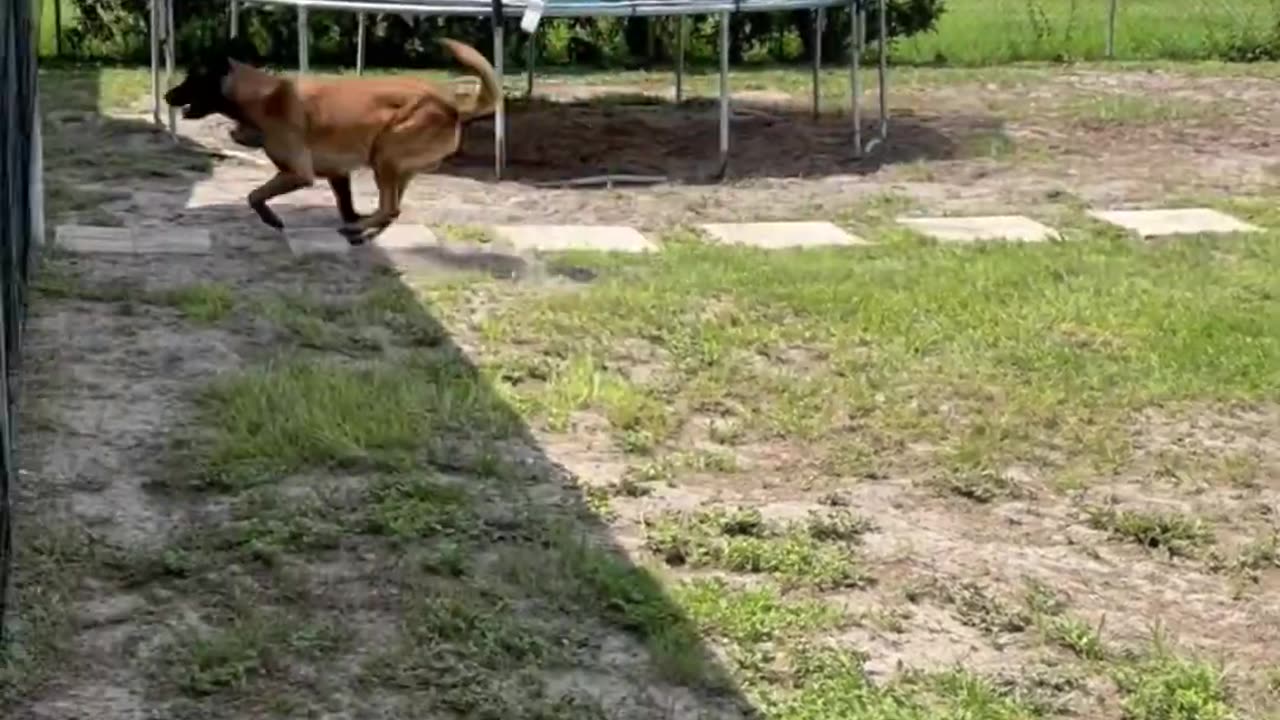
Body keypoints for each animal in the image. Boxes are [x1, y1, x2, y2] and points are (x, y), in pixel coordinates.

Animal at [161, 39, 499, 245]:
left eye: (192, 78)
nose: (166, 96)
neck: (262, 96)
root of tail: (452, 106)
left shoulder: (298, 174)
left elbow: (254, 195)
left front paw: (272, 219)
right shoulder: (338, 174)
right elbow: (344, 203)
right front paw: (354, 222)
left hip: (385, 155)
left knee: (389, 207)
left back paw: (358, 228)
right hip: (395, 165)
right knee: (393, 210)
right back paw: (364, 229)